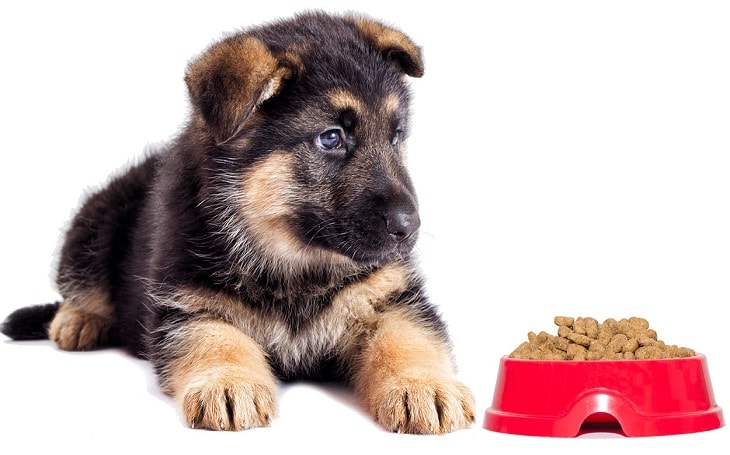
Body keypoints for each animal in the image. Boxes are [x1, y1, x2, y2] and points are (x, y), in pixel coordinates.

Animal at [0, 11, 474, 434]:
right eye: (331, 138)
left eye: (396, 136)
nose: (409, 229)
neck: (293, 262)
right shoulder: (188, 305)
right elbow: (216, 341)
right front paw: (229, 384)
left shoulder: (391, 300)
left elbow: (407, 338)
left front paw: (423, 386)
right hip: (97, 223)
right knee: (84, 282)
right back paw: (77, 320)